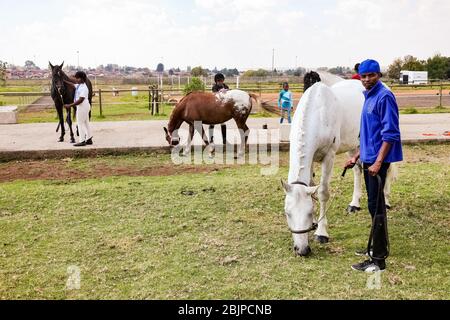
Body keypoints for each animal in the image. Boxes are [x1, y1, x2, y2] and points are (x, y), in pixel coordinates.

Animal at [284, 74, 396, 256]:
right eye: (287, 213)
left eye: (308, 212)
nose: (302, 250)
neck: (318, 114)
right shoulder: (311, 160)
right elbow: (312, 189)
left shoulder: (328, 156)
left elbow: (322, 193)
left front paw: (321, 232)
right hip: (354, 146)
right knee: (357, 170)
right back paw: (354, 204)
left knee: (386, 172)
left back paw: (385, 199)